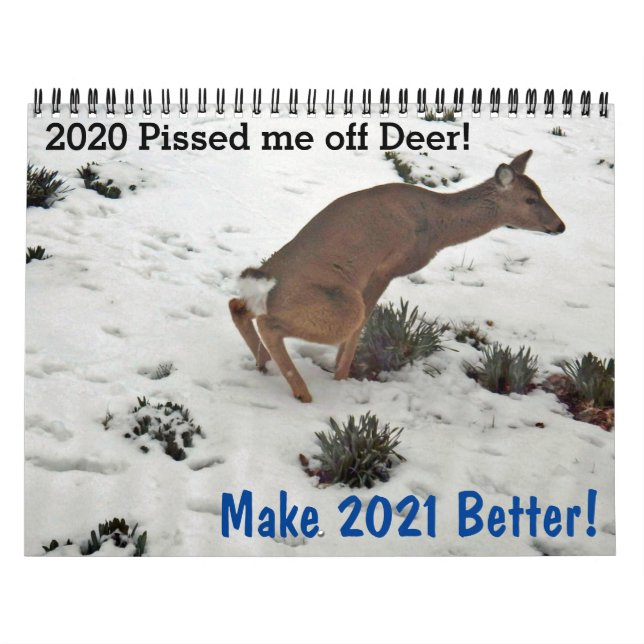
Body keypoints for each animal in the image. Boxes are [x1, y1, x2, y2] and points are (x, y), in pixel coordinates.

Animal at [228, 150, 565, 403]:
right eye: (529, 200)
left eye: (541, 193)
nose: (560, 226)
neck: (437, 226)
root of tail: (262, 279)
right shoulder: (386, 268)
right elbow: (363, 324)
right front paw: (341, 376)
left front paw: (338, 369)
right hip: (340, 303)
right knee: (271, 324)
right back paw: (301, 391)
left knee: (237, 305)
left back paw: (263, 364)